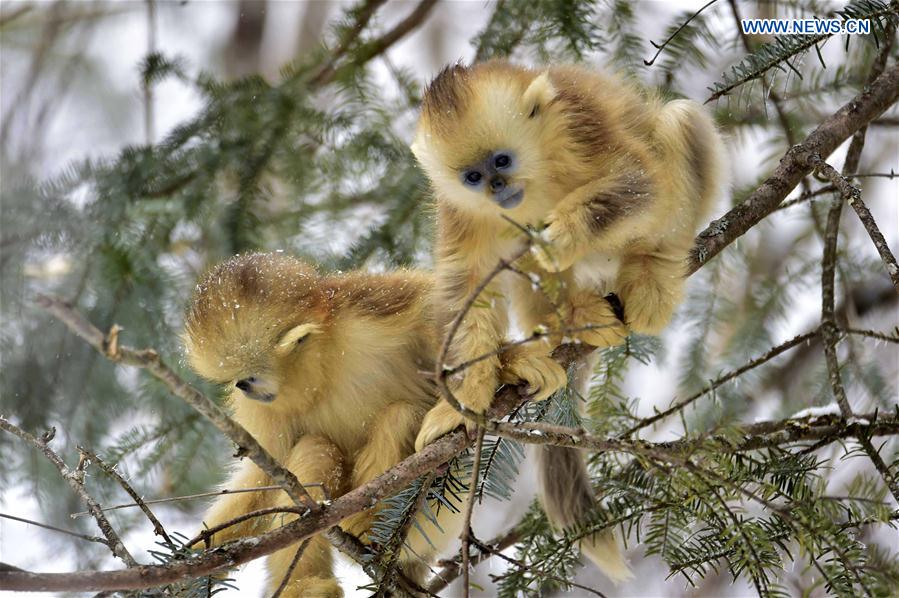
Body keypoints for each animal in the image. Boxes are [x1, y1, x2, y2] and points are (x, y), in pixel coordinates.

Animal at [412, 59, 728, 580]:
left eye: (502, 162)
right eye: (473, 176)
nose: (497, 188)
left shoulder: (578, 123)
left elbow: (640, 180)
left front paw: (563, 234)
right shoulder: (460, 208)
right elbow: (468, 287)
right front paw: (462, 402)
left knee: (678, 126)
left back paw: (652, 271)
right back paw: (556, 335)